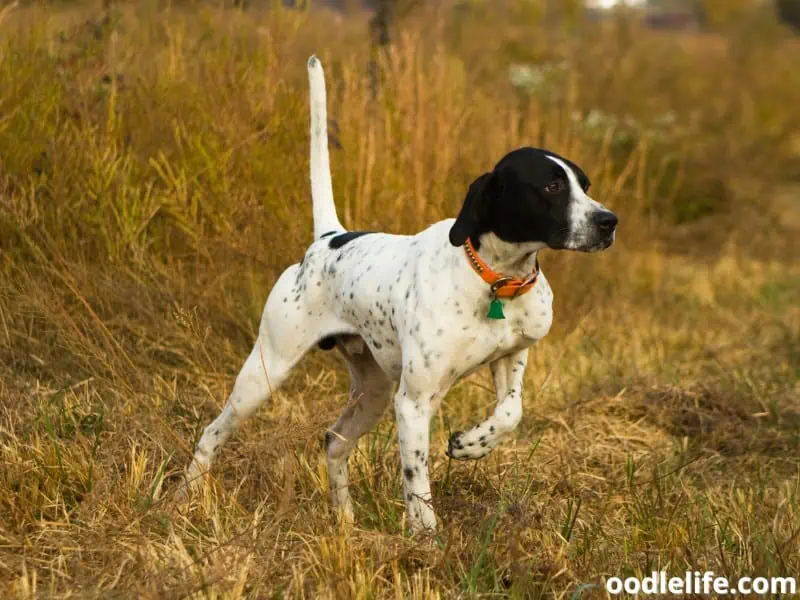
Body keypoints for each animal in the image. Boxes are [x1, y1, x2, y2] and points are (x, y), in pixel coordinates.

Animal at [183, 56, 620, 532]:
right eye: (552, 187)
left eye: (585, 185)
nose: (609, 221)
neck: (493, 279)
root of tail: (328, 238)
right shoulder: (412, 403)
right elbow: (417, 480)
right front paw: (426, 538)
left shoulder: (510, 357)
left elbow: (510, 412)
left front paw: (472, 444)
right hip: (266, 373)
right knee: (211, 433)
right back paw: (188, 499)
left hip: (372, 391)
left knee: (334, 442)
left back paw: (345, 521)